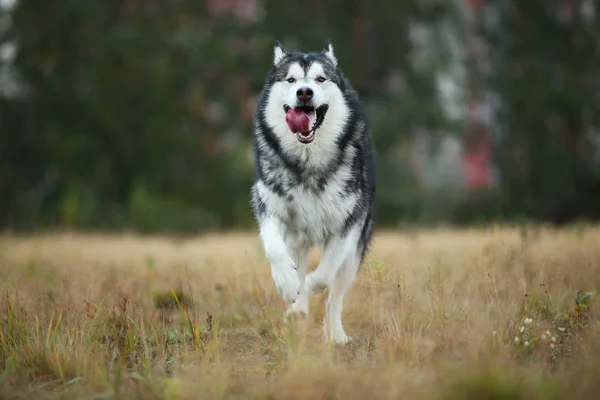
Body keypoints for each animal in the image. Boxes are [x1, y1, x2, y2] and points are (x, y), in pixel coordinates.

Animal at [250, 39, 376, 344]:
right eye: (291, 80)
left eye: (320, 79)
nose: (304, 92)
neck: (307, 164)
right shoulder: (267, 206)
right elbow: (274, 248)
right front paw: (287, 284)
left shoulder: (347, 224)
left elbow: (326, 271)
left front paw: (310, 284)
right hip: (298, 240)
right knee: (297, 262)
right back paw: (297, 308)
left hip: (355, 254)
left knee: (335, 296)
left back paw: (336, 334)